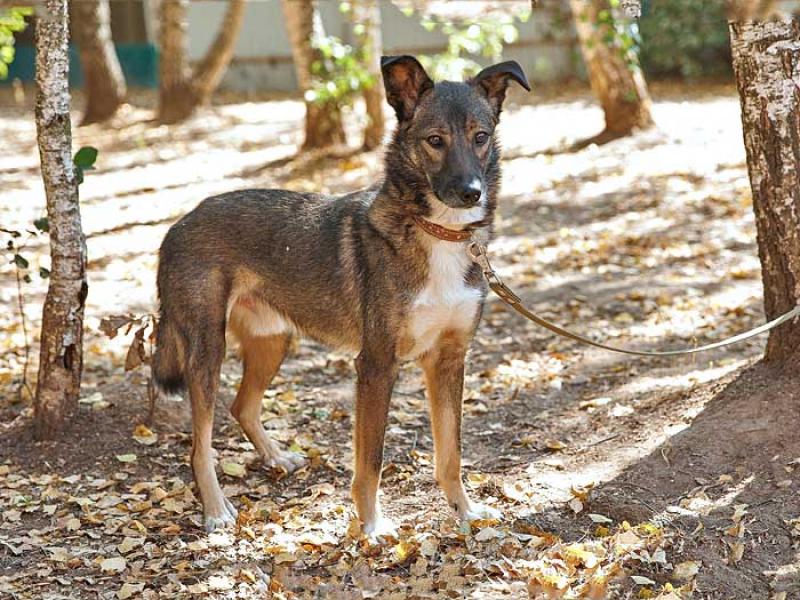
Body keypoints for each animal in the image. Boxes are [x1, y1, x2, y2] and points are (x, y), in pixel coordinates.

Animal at [153, 55, 532, 536]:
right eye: (435, 141)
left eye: (480, 137)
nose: (471, 193)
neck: (437, 231)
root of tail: (179, 224)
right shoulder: (376, 364)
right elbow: (370, 460)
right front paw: (371, 526)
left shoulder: (448, 360)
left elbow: (451, 454)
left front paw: (465, 512)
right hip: (206, 349)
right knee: (199, 443)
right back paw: (217, 510)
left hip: (273, 340)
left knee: (242, 406)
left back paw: (275, 457)